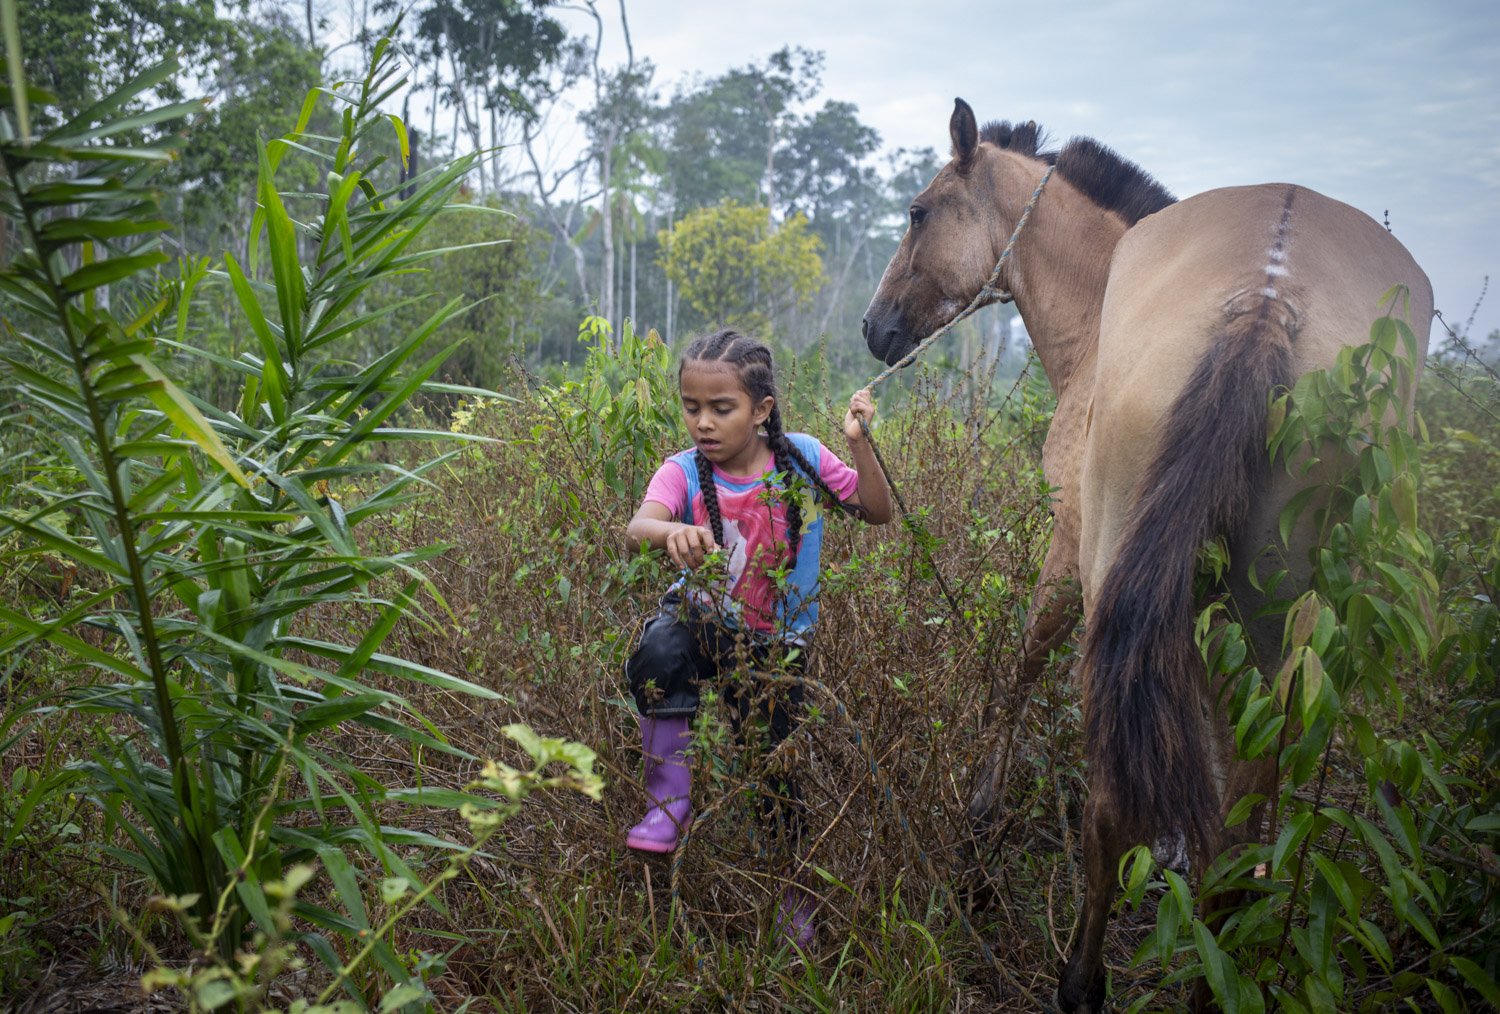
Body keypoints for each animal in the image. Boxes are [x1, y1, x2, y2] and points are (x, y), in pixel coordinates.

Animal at [858, 96, 1428, 1014]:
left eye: (918, 210)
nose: (876, 330)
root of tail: (1265, 303)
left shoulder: (1069, 549)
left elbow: (1020, 667)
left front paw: (979, 823)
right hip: (1272, 625)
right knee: (1242, 812)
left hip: (1118, 580)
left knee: (1107, 800)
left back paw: (1080, 981)